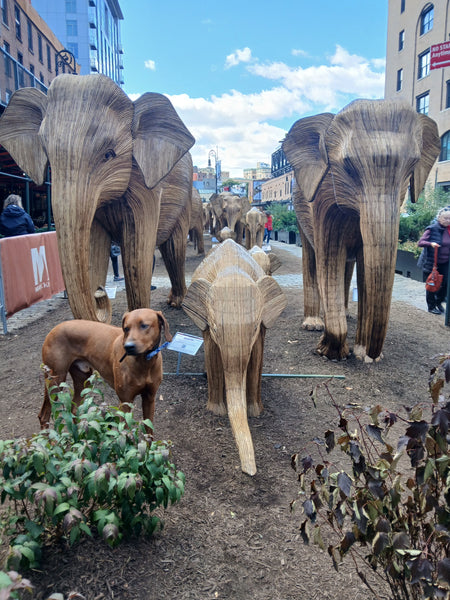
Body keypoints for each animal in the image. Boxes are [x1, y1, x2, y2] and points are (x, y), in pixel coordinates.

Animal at [39, 310, 172, 432]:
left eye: (144, 325)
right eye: (126, 328)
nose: (128, 347)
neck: (144, 363)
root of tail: (54, 328)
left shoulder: (150, 398)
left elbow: (149, 431)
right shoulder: (125, 402)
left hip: (83, 379)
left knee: (74, 409)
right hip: (55, 380)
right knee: (44, 415)